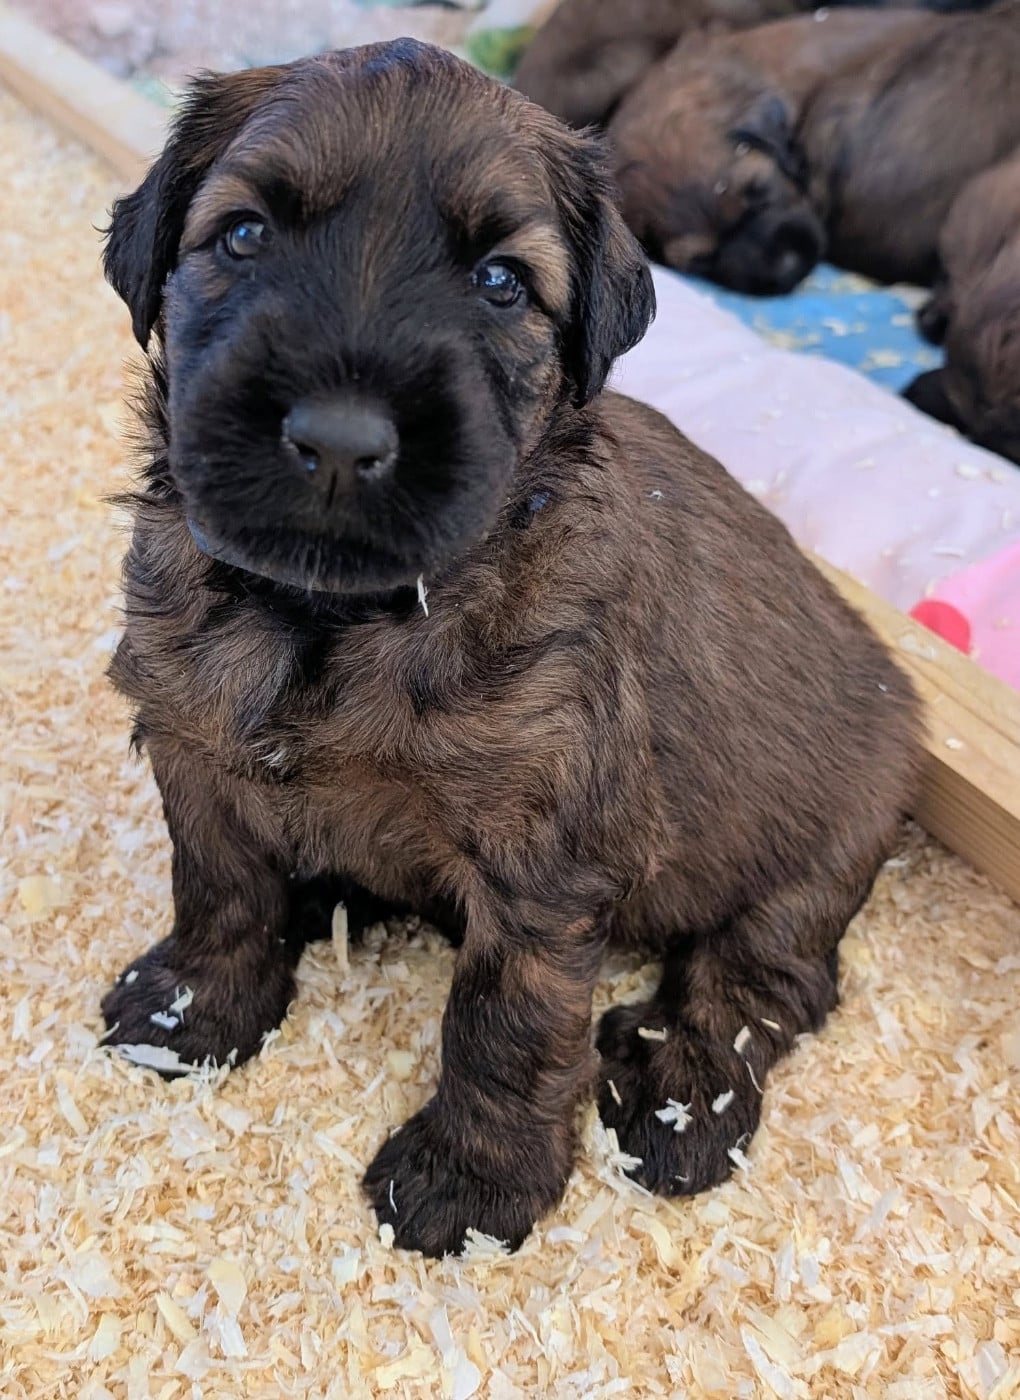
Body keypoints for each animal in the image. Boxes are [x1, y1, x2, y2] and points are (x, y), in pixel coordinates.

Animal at [101, 39, 921, 1257]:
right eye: (243, 235)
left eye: (500, 282)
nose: (338, 441)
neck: (335, 620)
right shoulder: (193, 739)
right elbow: (219, 885)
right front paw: (193, 1006)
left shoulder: (544, 853)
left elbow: (509, 1020)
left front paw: (471, 1181)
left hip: (820, 850)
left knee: (764, 981)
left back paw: (679, 1095)